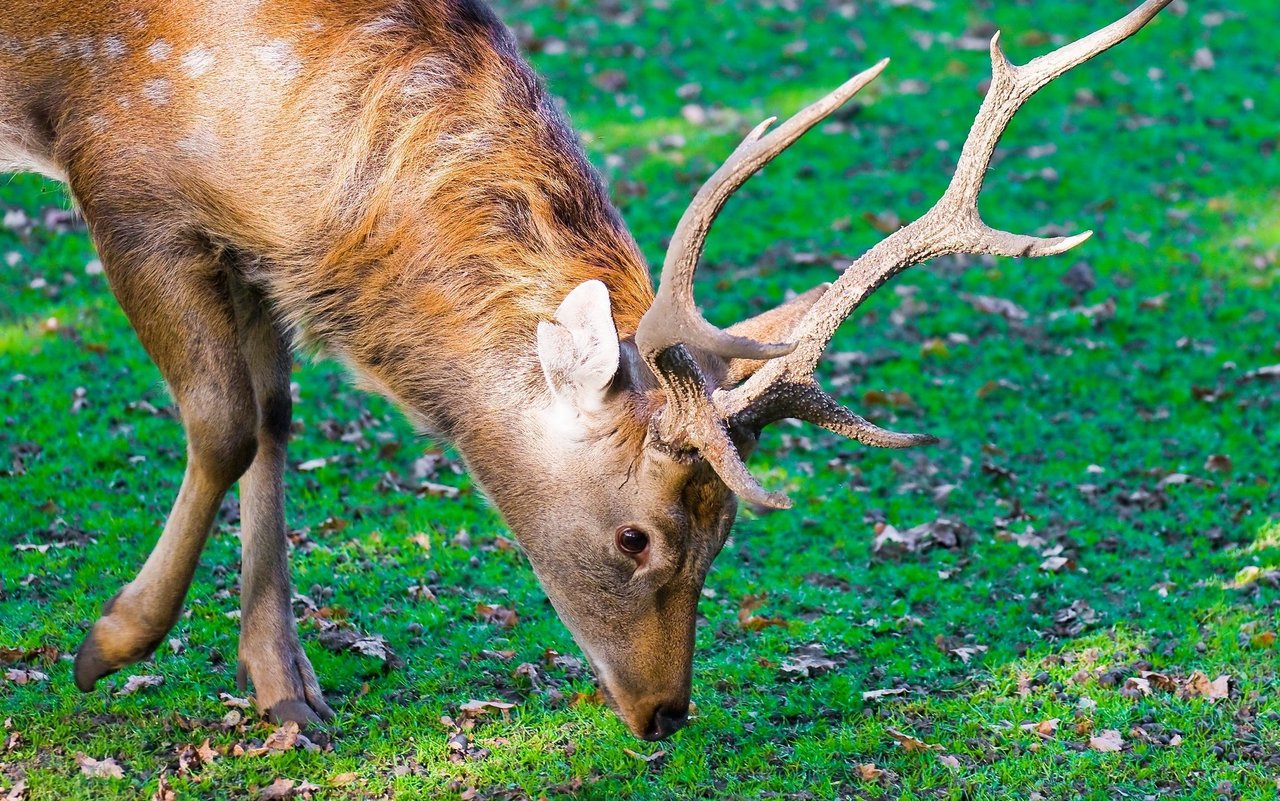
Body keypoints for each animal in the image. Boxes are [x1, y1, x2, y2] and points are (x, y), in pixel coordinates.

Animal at [0, 0, 1172, 737]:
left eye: (725, 531)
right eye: (634, 536)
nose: (664, 716)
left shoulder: (244, 240)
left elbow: (278, 419)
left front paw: (288, 695)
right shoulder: (127, 176)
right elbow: (226, 423)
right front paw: (109, 644)